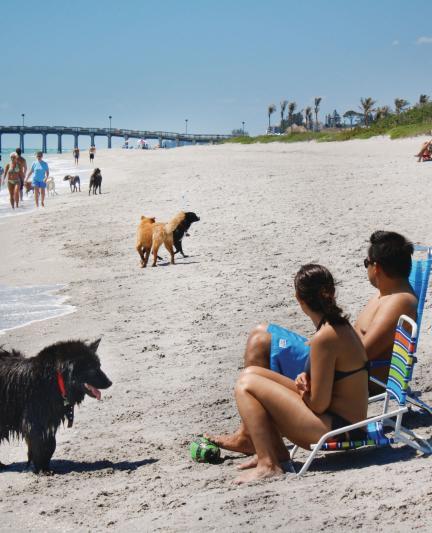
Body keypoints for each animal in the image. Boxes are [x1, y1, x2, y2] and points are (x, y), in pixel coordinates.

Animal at [0, 338, 111, 472]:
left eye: (99, 365)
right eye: (91, 368)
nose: (110, 383)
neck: (56, 379)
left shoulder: (49, 421)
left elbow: (50, 444)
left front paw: (44, 466)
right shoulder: (35, 422)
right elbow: (40, 445)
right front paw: (42, 469)